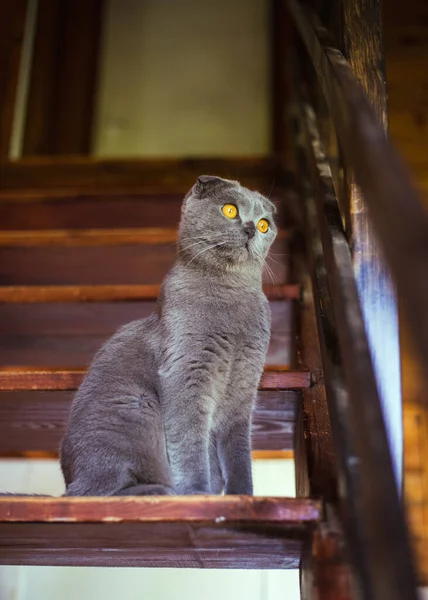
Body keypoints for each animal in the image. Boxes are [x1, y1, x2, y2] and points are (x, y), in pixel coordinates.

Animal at [58, 177, 276, 496]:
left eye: (264, 224)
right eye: (230, 210)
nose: (250, 228)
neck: (231, 294)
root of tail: (71, 477)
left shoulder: (244, 385)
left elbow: (238, 453)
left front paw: (242, 496)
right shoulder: (186, 370)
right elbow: (190, 444)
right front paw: (197, 493)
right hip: (138, 407)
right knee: (99, 490)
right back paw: (161, 491)